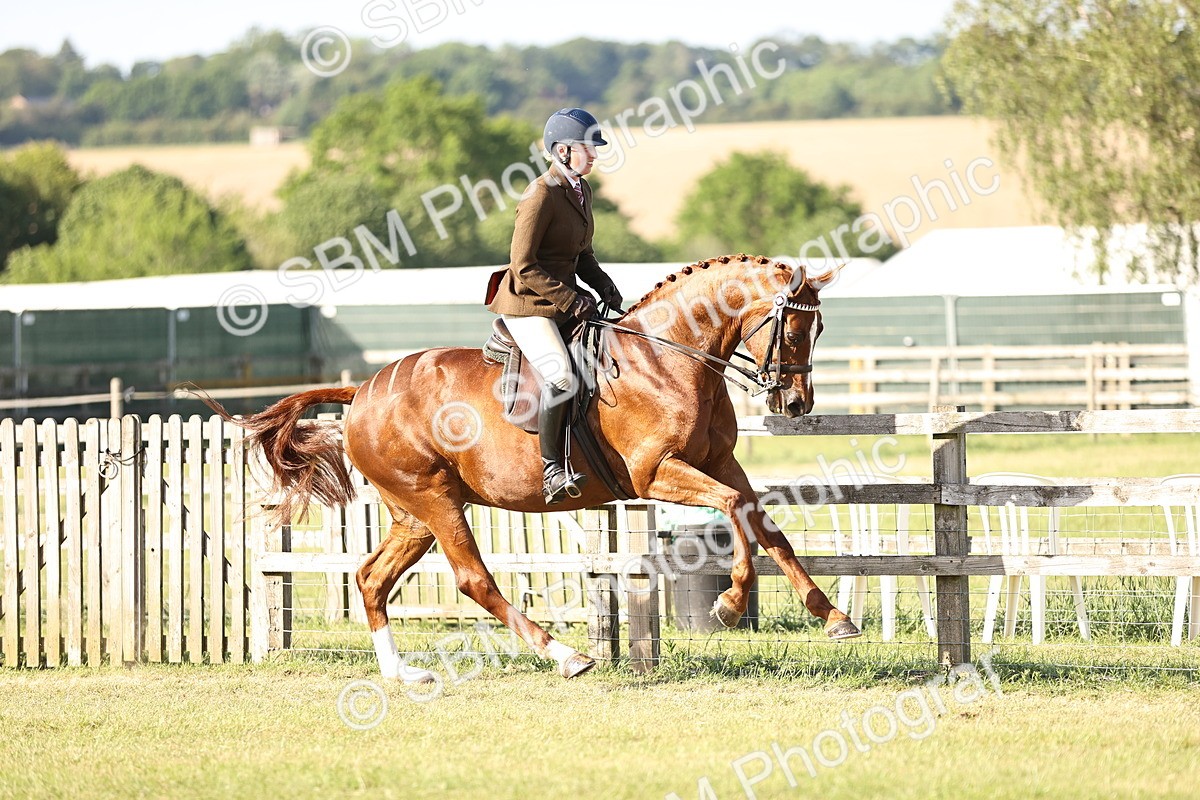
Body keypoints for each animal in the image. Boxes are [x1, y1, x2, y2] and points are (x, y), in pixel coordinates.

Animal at [213, 254, 860, 682]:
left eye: (819, 327)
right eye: (794, 329)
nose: (796, 405)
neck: (670, 356)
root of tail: (362, 391)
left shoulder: (719, 461)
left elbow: (763, 522)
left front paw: (832, 616)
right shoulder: (656, 473)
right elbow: (731, 509)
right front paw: (728, 602)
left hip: (414, 514)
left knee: (373, 578)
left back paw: (402, 674)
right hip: (437, 502)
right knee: (474, 580)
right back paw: (567, 656)